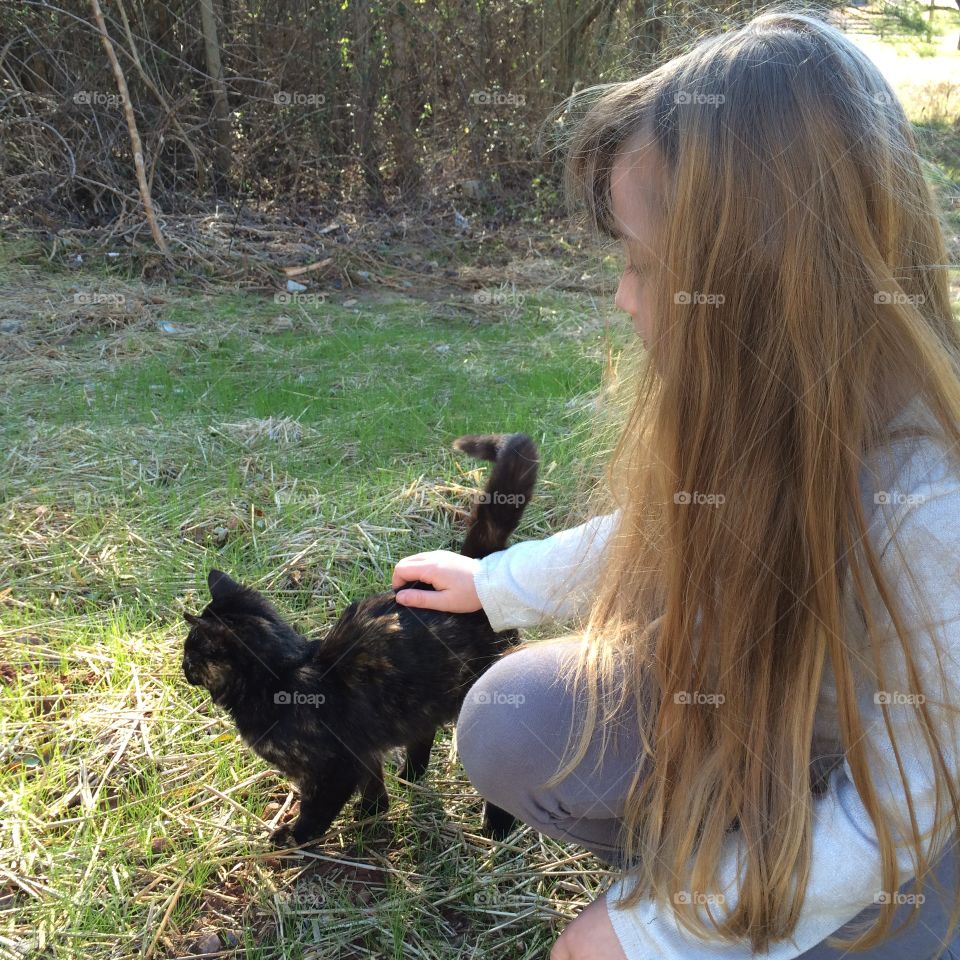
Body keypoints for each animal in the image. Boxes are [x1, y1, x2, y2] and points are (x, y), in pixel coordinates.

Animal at [183, 432, 536, 844]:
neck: (281, 677)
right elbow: (373, 783)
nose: (182, 670)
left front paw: (291, 839)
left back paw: (496, 827)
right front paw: (372, 814)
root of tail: (475, 569)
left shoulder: (332, 769)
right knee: (422, 733)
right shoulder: (362, 750)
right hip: (421, 702)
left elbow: (315, 814)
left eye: (190, 652)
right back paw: (410, 776)